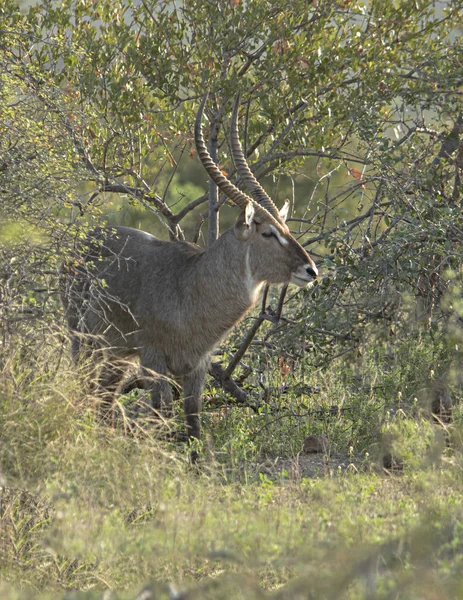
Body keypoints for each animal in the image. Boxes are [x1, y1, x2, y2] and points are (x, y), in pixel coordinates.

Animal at [64, 96, 320, 458]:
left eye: (286, 228)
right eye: (268, 232)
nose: (310, 270)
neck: (192, 286)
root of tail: (85, 239)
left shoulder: (197, 367)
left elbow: (194, 424)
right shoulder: (155, 359)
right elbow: (162, 416)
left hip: (117, 356)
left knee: (103, 399)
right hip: (84, 341)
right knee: (86, 388)